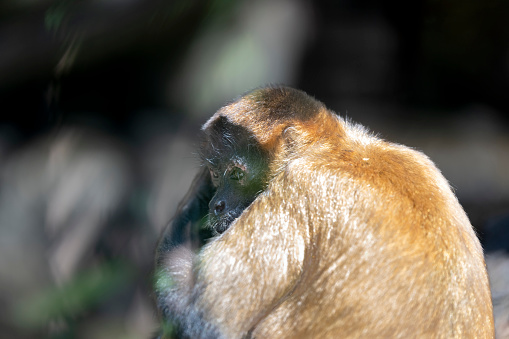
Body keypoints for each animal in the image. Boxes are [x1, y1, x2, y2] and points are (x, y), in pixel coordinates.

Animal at [154, 86, 492, 338]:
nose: (216, 204)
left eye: (236, 175)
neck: (340, 148)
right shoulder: (419, 161)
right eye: (215, 174)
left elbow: (208, 319)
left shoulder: (299, 183)